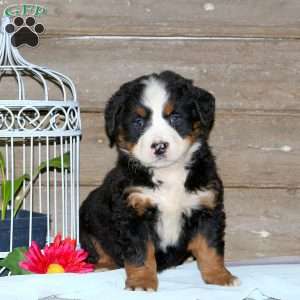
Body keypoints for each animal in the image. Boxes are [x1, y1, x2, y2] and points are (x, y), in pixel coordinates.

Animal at [79, 69, 239, 290]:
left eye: (175, 117)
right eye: (138, 122)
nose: (159, 146)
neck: (169, 173)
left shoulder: (206, 208)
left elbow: (210, 249)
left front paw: (219, 276)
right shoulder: (133, 213)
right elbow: (140, 254)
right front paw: (141, 282)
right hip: (88, 219)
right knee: (100, 249)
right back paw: (103, 266)